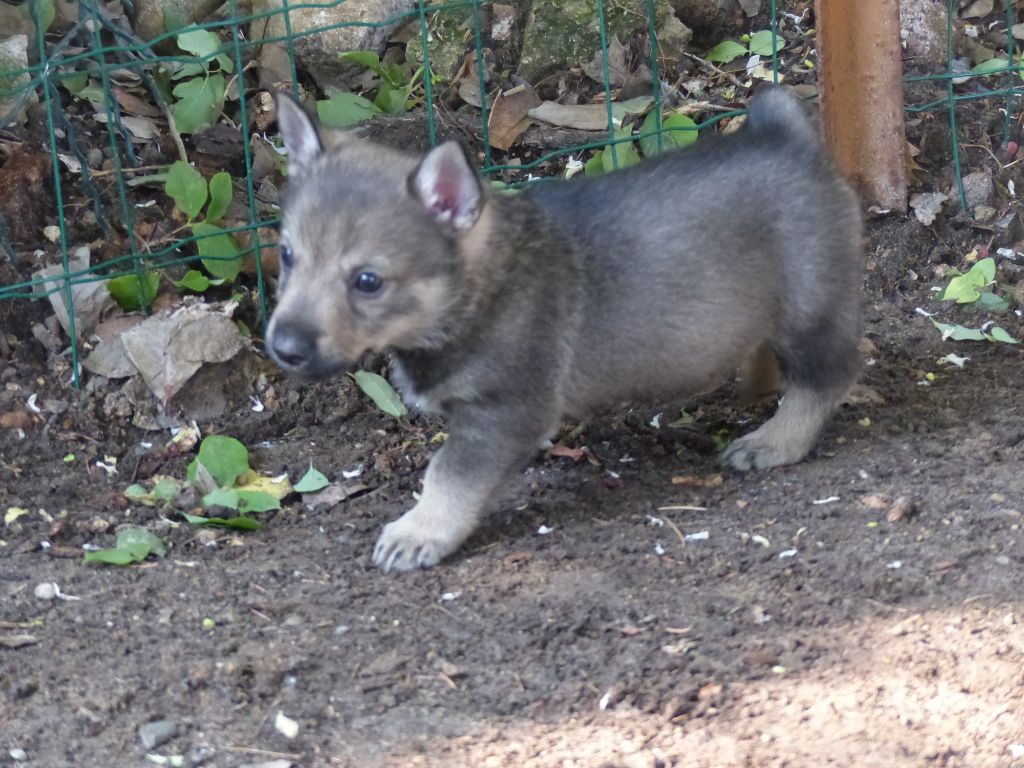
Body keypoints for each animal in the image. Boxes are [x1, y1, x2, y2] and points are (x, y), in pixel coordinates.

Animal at [268, 88, 860, 573]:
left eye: (367, 281)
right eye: (287, 256)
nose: (283, 348)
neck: (480, 289)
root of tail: (788, 138)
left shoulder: (503, 414)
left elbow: (447, 475)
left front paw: (419, 532)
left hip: (808, 313)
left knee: (825, 378)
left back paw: (774, 441)